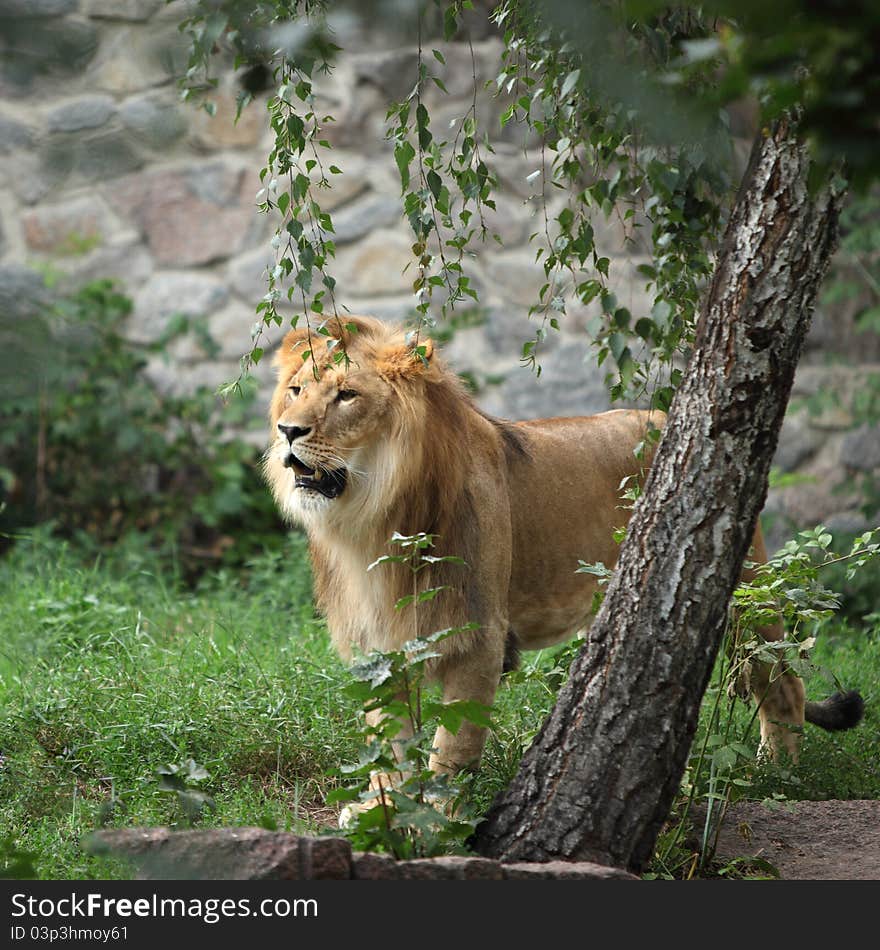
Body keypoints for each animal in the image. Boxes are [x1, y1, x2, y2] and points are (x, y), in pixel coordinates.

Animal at [264, 314, 864, 788]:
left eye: (347, 395)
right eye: (296, 390)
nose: (288, 431)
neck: (373, 520)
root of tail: (666, 419)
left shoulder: (477, 639)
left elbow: (451, 752)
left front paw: (438, 821)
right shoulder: (377, 648)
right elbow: (390, 751)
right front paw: (387, 811)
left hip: (743, 594)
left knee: (784, 682)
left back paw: (774, 777)